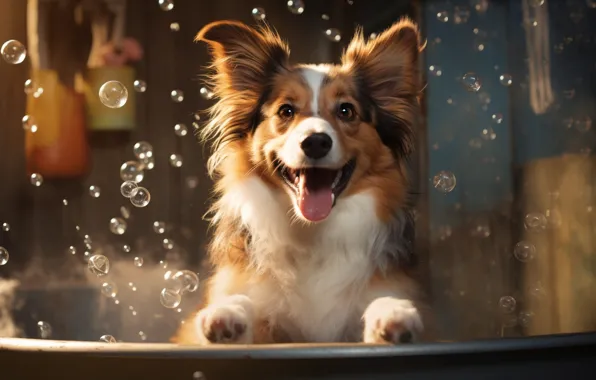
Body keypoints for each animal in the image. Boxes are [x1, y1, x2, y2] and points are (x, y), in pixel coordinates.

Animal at [172, 17, 428, 344]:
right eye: (286, 110)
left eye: (346, 110)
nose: (316, 142)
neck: (312, 234)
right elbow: (240, 303)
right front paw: (227, 312)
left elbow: (382, 302)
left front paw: (394, 313)